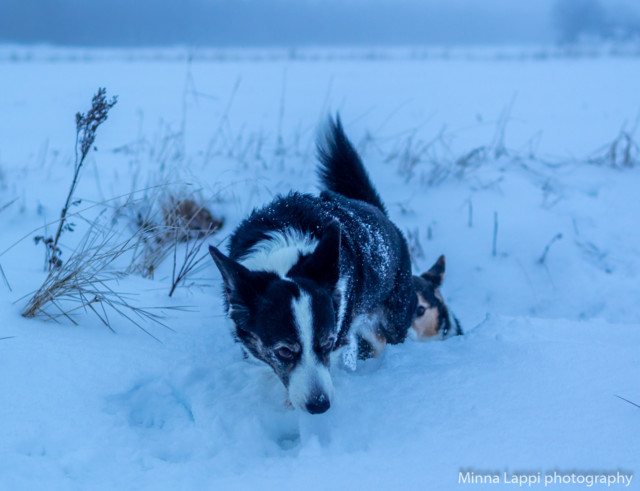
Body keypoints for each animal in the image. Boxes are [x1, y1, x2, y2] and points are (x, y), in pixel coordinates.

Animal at [211, 117, 416, 414]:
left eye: (327, 343)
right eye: (285, 351)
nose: (320, 406)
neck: (283, 255)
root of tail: (380, 214)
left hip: (394, 316)